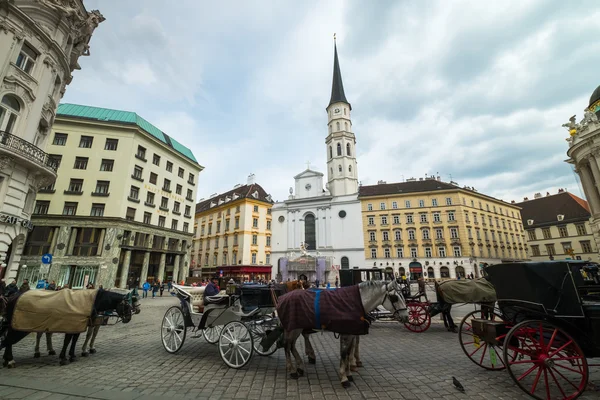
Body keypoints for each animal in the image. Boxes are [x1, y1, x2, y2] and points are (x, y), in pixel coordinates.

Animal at [0, 288, 136, 368]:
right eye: (126, 305)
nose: (129, 318)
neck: (93, 301)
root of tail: (13, 297)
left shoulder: (80, 325)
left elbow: (76, 339)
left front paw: (73, 355)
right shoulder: (73, 324)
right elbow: (69, 340)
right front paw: (65, 357)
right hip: (19, 325)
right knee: (10, 340)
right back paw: (12, 359)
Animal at [276, 278, 408, 388]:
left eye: (403, 295)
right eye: (395, 298)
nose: (406, 317)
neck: (357, 302)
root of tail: (282, 298)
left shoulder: (351, 332)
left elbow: (348, 353)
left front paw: (349, 374)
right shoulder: (346, 333)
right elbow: (344, 354)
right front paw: (344, 378)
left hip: (296, 327)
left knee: (292, 345)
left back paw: (300, 367)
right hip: (292, 328)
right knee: (287, 345)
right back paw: (292, 370)